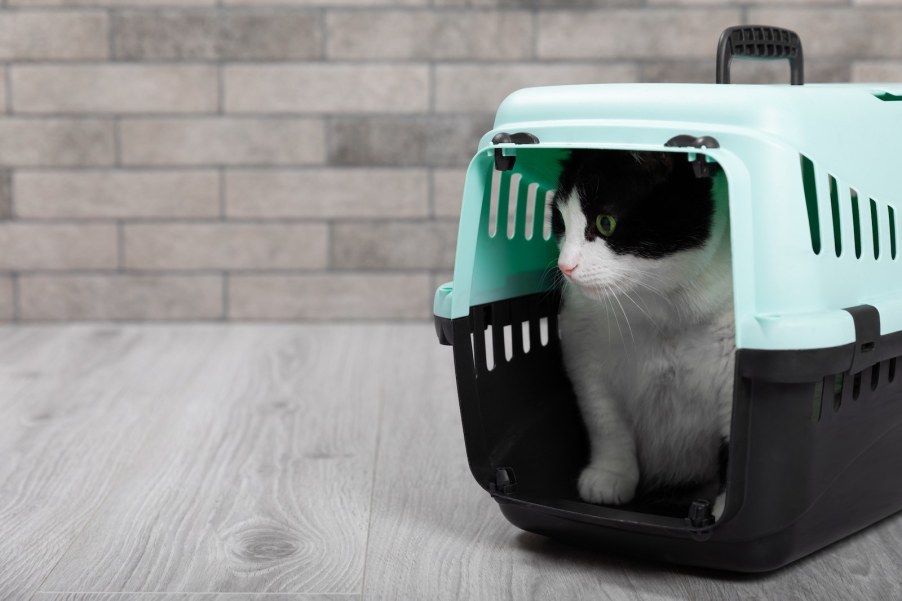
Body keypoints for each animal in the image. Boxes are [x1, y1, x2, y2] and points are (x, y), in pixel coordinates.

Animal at [556, 148, 740, 516]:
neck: (661, 308)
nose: (564, 267)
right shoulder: (582, 344)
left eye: (606, 223)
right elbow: (605, 418)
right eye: (561, 222)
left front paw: (723, 511)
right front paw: (610, 475)